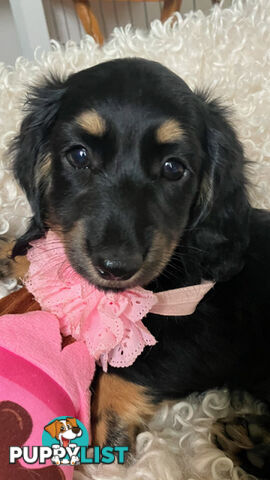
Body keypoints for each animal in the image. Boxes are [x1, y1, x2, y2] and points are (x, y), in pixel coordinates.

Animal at [2, 60, 270, 476]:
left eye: (173, 168)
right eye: (79, 156)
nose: (116, 267)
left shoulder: (207, 328)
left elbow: (126, 368)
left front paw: (102, 438)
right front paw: (10, 253)